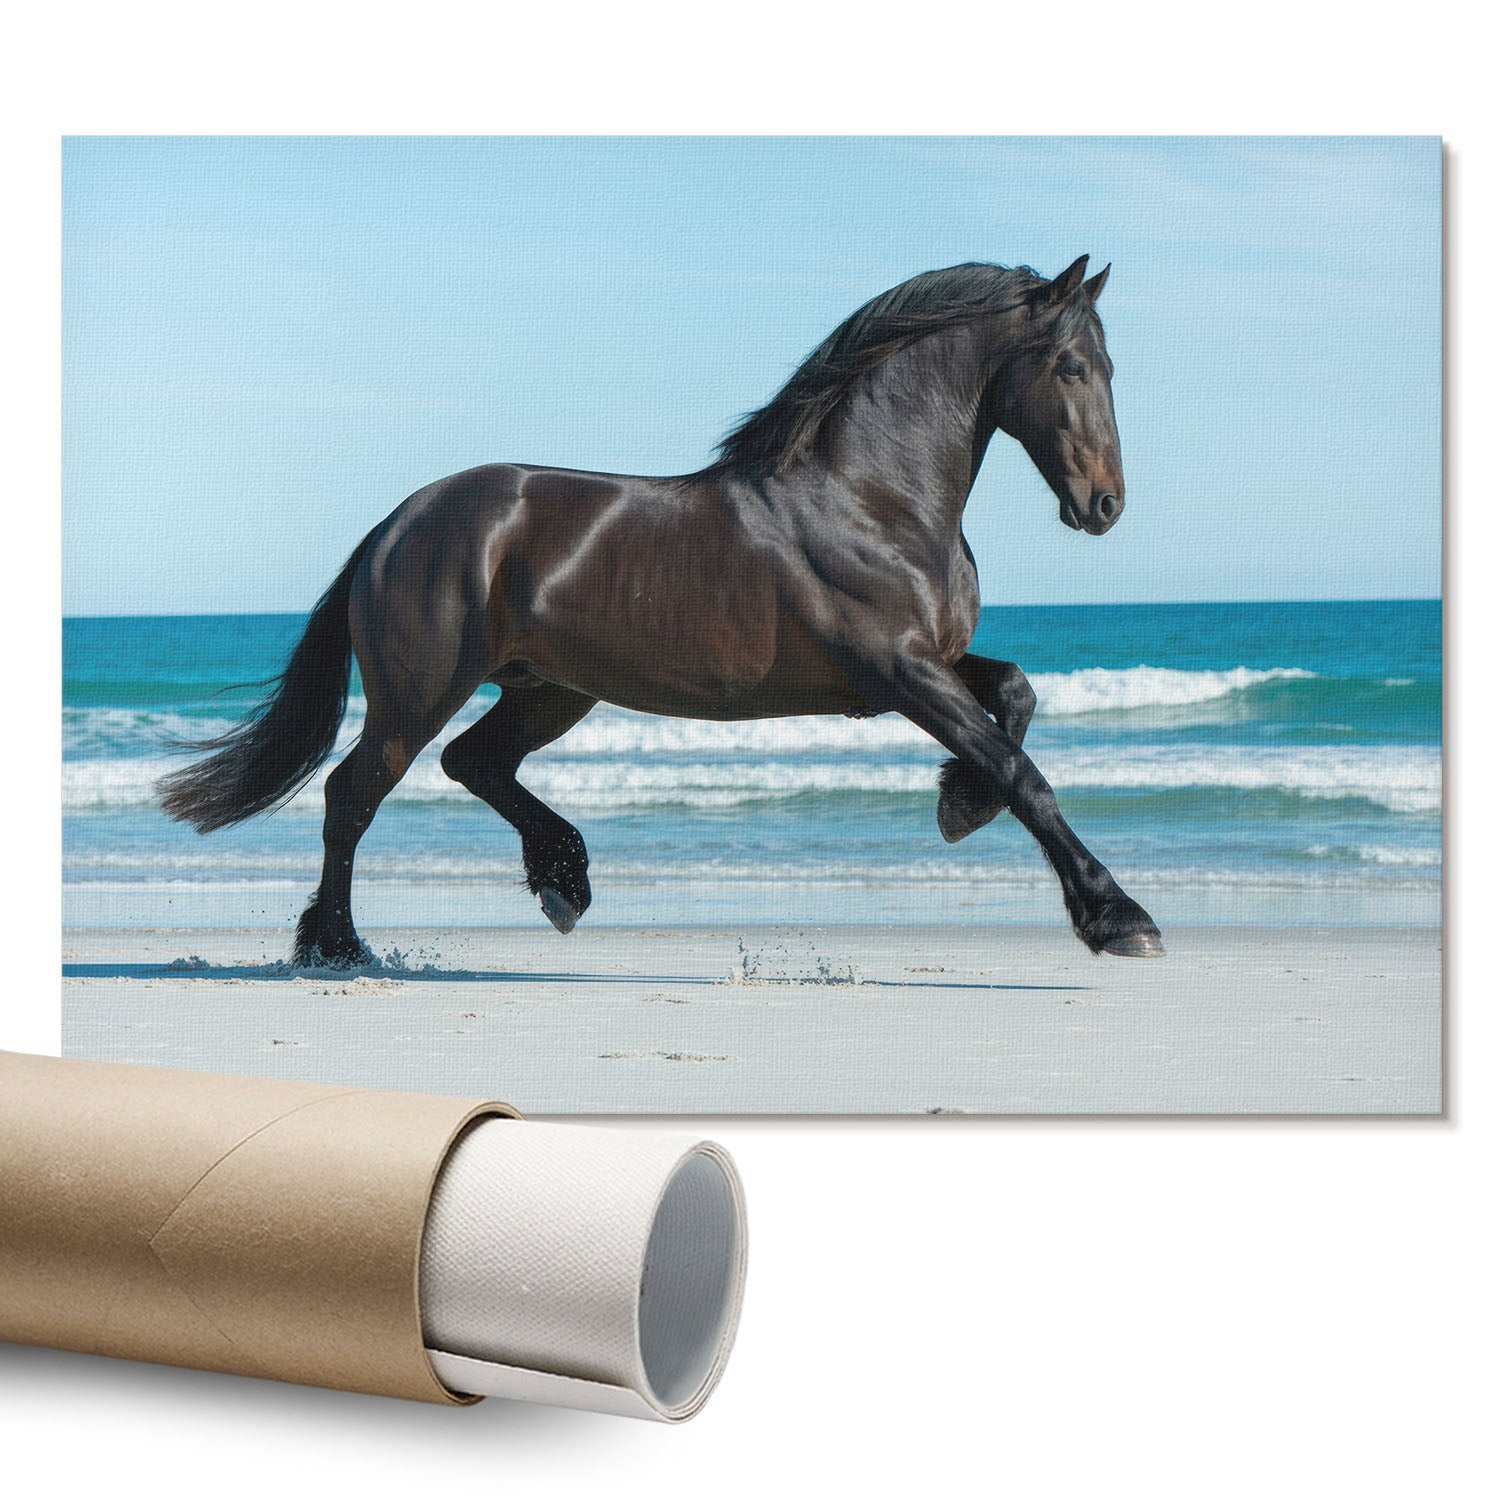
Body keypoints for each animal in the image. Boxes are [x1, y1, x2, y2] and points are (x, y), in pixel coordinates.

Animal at [158, 254, 1165, 965]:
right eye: (1072, 366)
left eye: (1112, 366)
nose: (1105, 505)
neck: (871, 499)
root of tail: (394, 524)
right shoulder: (898, 671)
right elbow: (1019, 769)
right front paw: (1117, 916)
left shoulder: (928, 664)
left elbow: (1018, 696)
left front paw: (959, 805)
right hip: (421, 693)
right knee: (354, 795)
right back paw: (339, 944)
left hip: (551, 689)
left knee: (472, 762)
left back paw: (562, 881)